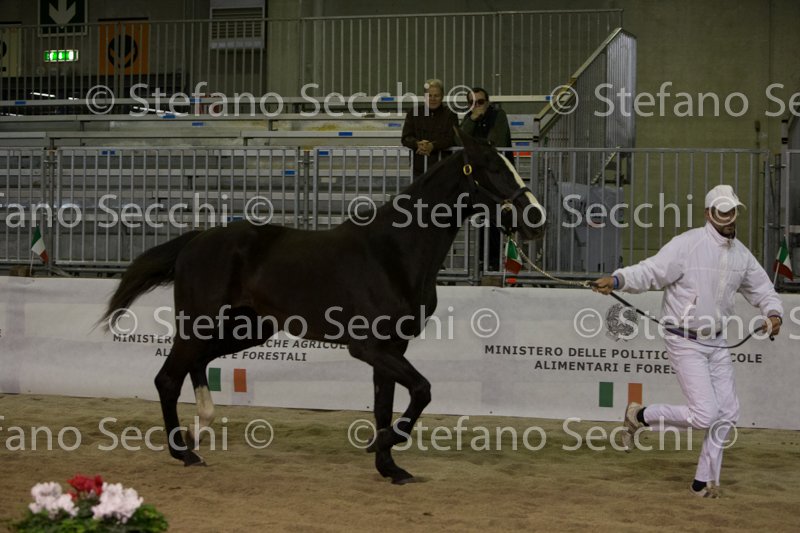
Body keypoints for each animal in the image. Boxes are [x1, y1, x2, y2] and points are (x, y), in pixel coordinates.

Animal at [100, 131, 546, 484]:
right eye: (493, 167)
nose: (536, 219)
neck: (394, 252)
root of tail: (195, 241)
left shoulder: (392, 348)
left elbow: (385, 405)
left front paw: (390, 467)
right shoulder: (368, 347)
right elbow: (422, 390)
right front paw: (380, 448)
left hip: (245, 328)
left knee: (195, 365)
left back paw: (197, 434)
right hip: (201, 323)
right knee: (167, 378)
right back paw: (184, 451)